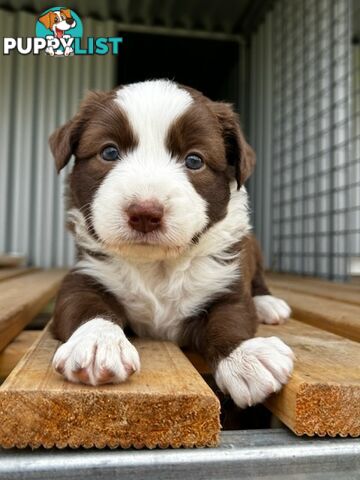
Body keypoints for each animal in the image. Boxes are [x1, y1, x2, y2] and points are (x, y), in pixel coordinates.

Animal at [50, 79, 292, 408]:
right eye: (109, 152)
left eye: (194, 160)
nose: (145, 213)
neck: (157, 264)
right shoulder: (85, 273)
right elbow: (84, 305)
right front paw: (97, 342)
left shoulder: (226, 283)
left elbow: (230, 319)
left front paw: (246, 356)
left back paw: (268, 304)